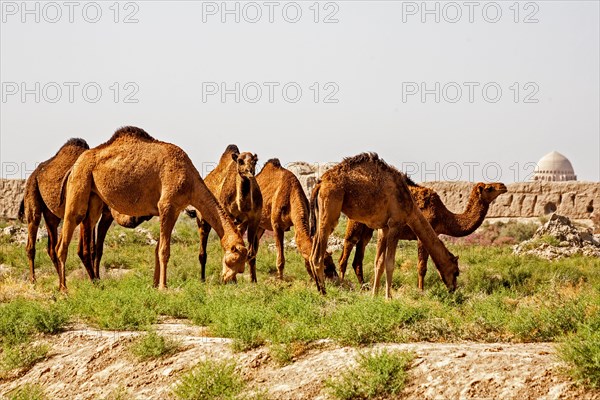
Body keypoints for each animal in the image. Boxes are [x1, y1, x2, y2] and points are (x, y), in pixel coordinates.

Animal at [17, 139, 149, 282]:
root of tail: (35, 173)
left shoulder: (105, 213)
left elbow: (96, 249)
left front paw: (98, 277)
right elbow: (84, 249)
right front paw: (95, 280)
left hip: (51, 214)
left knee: (51, 246)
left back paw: (60, 280)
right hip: (32, 192)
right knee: (32, 238)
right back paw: (34, 281)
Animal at [54, 126, 246, 290]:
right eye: (235, 260)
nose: (228, 280)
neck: (190, 183)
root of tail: (73, 167)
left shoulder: (173, 210)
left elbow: (157, 249)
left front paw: (154, 285)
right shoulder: (167, 205)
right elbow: (164, 250)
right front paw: (163, 287)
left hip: (94, 197)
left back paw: (93, 283)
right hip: (80, 182)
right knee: (64, 238)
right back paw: (64, 289)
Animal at [188, 145, 262, 282]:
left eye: (255, 161)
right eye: (240, 161)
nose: (249, 172)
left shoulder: (254, 219)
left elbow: (251, 253)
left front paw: (253, 281)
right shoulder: (229, 216)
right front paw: (233, 280)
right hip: (202, 221)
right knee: (202, 252)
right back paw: (202, 279)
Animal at [310, 152, 460, 296]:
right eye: (456, 272)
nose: (453, 289)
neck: (411, 206)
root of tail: (320, 183)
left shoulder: (384, 228)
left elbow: (379, 262)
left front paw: (374, 295)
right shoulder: (395, 224)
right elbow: (389, 263)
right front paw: (389, 297)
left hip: (321, 213)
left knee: (313, 249)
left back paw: (319, 288)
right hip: (331, 205)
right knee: (318, 255)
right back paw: (323, 292)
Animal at [338, 183, 506, 290]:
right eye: (490, 188)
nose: (503, 186)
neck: (444, 217)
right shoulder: (421, 233)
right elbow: (422, 266)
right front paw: (421, 290)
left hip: (368, 227)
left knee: (360, 250)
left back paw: (364, 286)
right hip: (355, 220)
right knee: (349, 244)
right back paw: (341, 283)